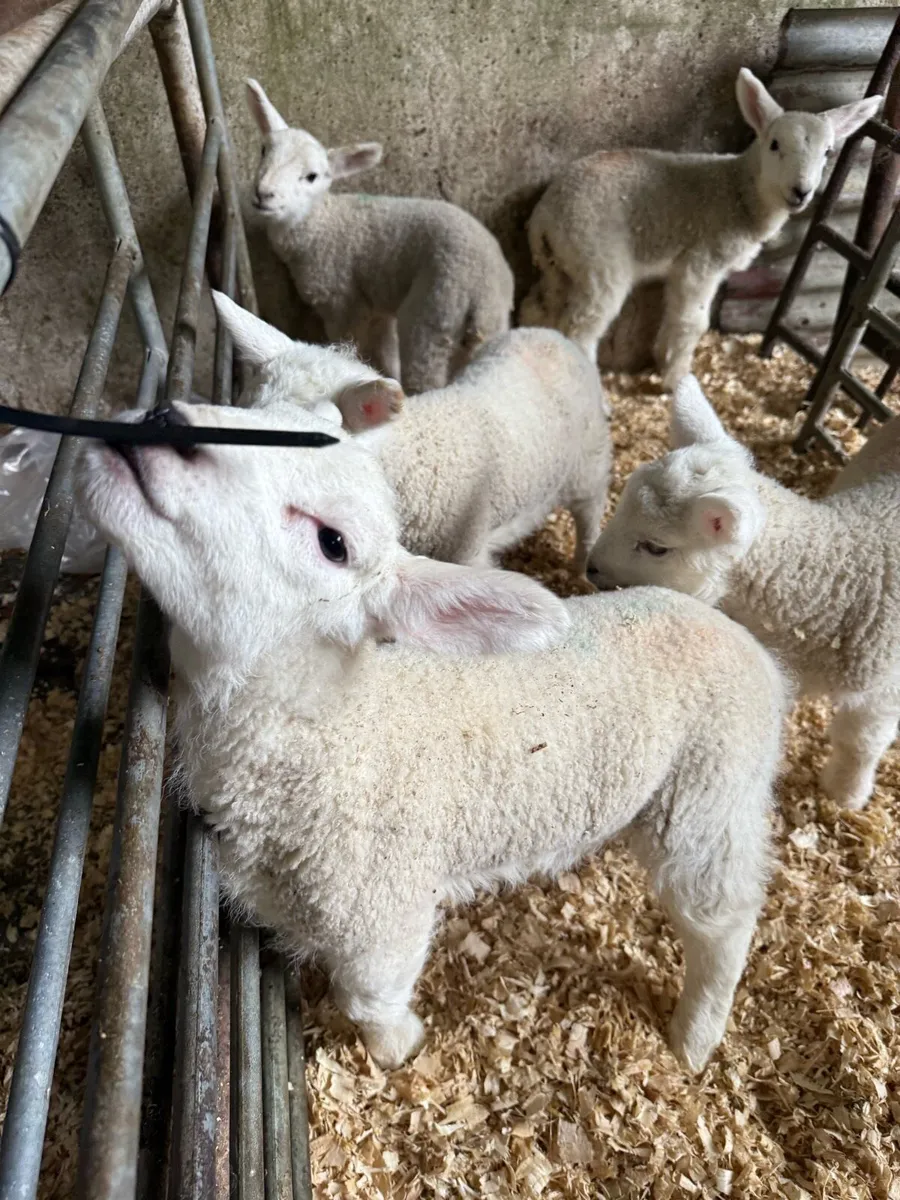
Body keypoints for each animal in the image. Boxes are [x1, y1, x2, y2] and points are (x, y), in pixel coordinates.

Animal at [78, 396, 788, 1074]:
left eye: (333, 543)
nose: (165, 418)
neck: (338, 726)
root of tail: (718, 622)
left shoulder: (382, 908)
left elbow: (370, 997)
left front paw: (398, 1049)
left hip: (711, 792)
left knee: (723, 920)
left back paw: (695, 1037)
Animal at [244, 77, 515, 394]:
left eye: (311, 176)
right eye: (263, 151)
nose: (263, 193)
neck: (320, 224)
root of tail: (482, 291)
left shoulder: (342, 300)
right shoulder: (376, 303)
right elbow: (385, 352)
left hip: (434, 312)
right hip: (488, 326)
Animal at [520, 69, 882, 388]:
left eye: (828, 152)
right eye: (774, 144)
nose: (801, 191)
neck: (739, 191)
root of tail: (544, 215)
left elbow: (677, 317)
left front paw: (663, 360)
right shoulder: (702, 262)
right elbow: (693, 322)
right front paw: (676, 378)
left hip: (559, 266)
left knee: (537, 307)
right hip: (599, 260)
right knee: (580, 329)